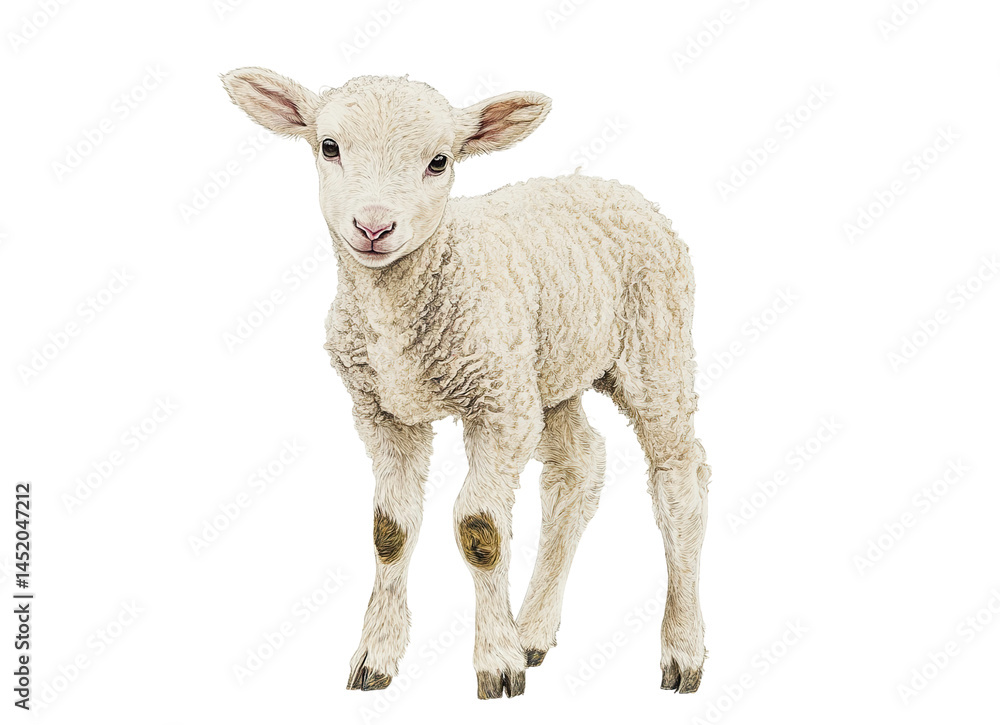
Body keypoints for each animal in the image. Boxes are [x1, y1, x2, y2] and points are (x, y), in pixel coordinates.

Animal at [222, 67, 711, 699]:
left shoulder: (496, 409)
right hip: (545, 372)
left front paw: (496, 665)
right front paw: (376, 658)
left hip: (655, 348)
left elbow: (481, 531)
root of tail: (610, 186)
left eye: (439, 161)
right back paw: (533, 630)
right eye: (328, 147)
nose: (373, 226)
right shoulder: (383, 411)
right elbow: (390, 531)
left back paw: (683, 649)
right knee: (580, 467)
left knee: (681, 482)